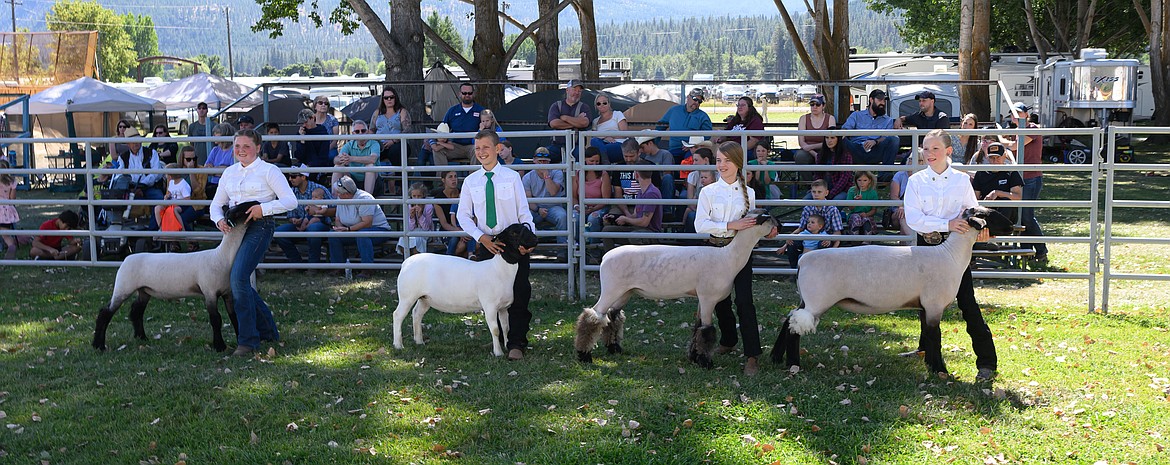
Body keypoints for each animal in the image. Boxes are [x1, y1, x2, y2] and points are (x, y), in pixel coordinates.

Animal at [91, 200, 258, 351]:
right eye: (240, 209)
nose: (257, 203)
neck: (222, 257)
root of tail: (126, 259)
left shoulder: (227, 293)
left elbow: (234, 316)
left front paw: (239, 341)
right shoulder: (209, 292)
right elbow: (216, 319)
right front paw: (220, 346)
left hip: (144, 290)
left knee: (136, 311)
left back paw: (142, 337)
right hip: (123, 287)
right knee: (105, 312)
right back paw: (98, 345)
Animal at [393, 222, 538, 356]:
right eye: (514, 233)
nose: (535, 239)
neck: (499, 269)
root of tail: (406, 262)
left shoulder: (504, 307)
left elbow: (506, 328)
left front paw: (508, 346)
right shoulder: (490, 306)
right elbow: (496, 330)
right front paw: (498, 353)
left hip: (425, 298)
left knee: (417, 314)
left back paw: (419, 341)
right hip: (407, 295)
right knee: (398, 315)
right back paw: (398, 345)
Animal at [573, 209, 776, 365]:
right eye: (767, 219)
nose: (779, 226)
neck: (729, 257)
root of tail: (605, 257)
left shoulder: (701, 298)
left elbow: (698, 328)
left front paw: (694, 357)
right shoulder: (708, 297)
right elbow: (707, 331)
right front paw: (705, 362)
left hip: (624, 292)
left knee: (613, 316)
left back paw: (614, 348)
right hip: (611, 288)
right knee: (593, 316)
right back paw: (584, 355)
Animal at [767, 206, 1015, 372]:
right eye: (990, 214)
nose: (1013, 226)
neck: (950, 255)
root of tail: (803, 261)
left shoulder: (925, 306)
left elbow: (928, 335)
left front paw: (930, 364)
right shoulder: (934, 305)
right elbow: (935, 336)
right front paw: (939, 370)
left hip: (807, 300)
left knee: (788, 320)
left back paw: (776, 357)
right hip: (817, 301)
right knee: (795, 328)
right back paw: (794, 364)